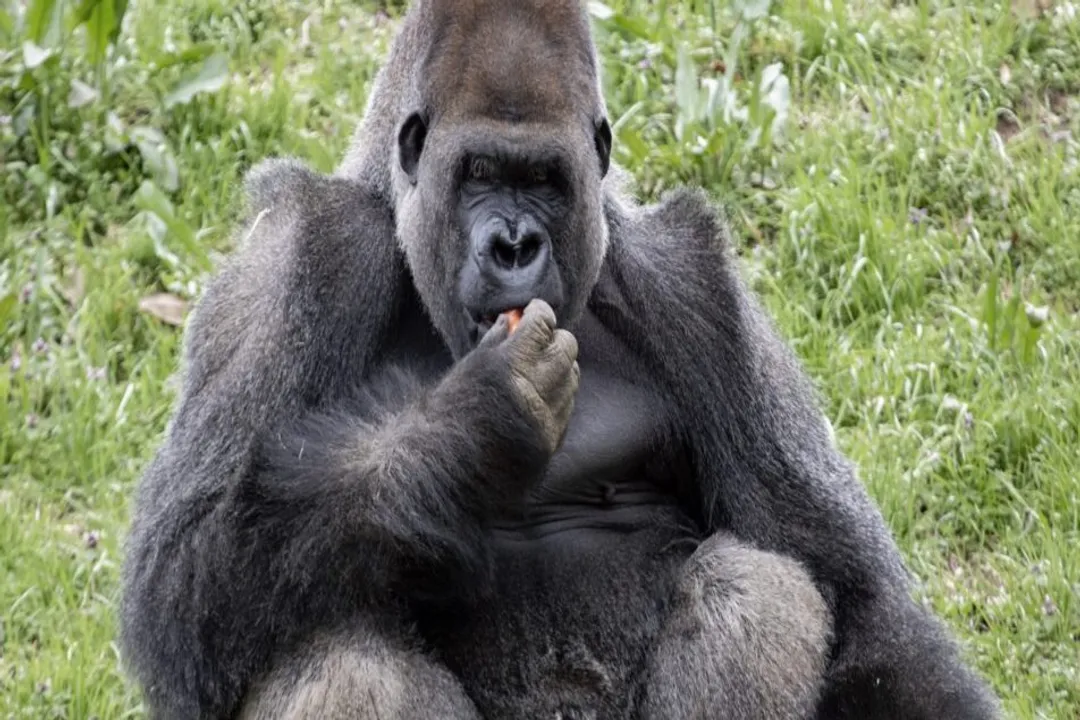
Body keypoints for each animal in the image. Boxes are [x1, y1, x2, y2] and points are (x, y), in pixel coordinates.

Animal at [118, 1, 1004, 718]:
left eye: (544, 180)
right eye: (479, 173)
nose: (515, 245)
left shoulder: (692, 288)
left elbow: (861, 605)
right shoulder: (297, 259)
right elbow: (179, 586)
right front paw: (468, 429)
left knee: (757, 584)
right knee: (335, 647)